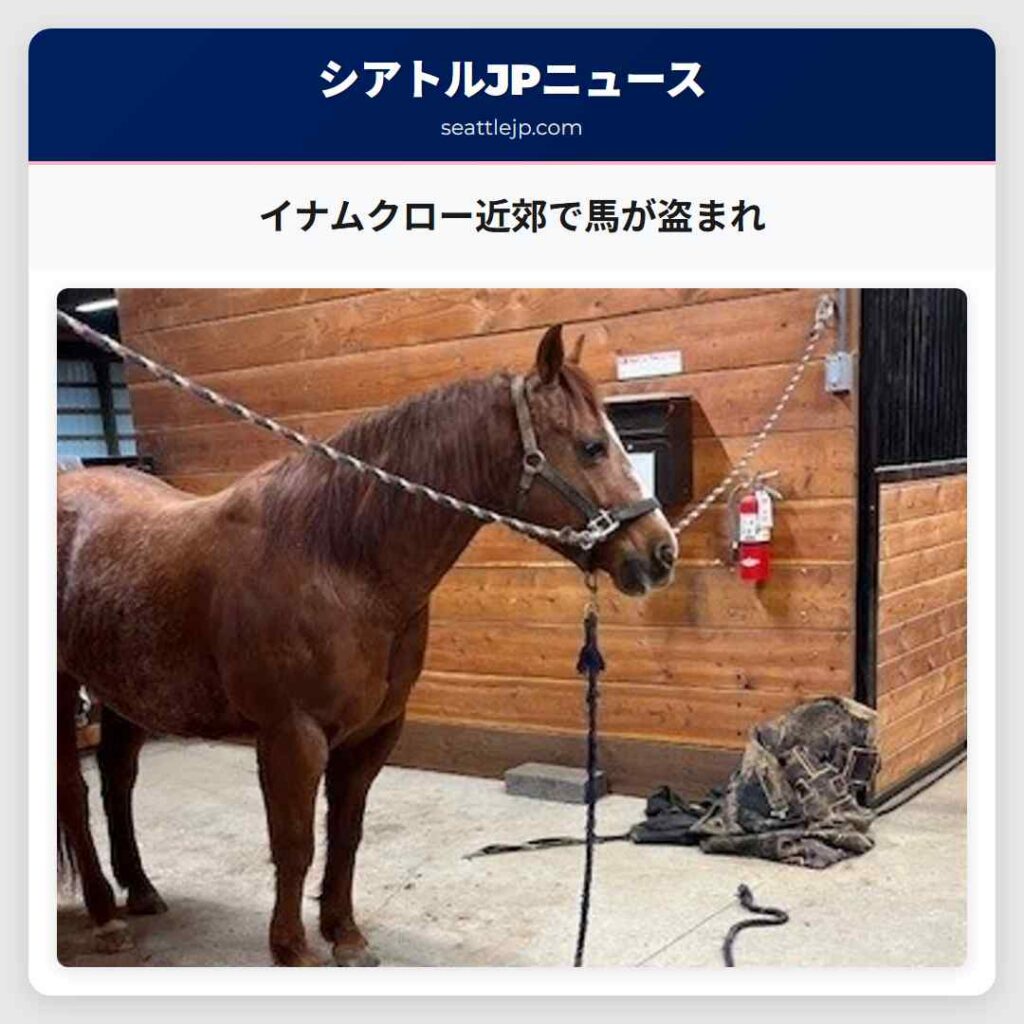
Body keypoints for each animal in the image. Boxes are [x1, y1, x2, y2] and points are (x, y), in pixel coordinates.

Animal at [56, 324, 678, 966]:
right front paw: (292, 949)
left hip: (125, 691)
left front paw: (346, 936)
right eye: (592, 447)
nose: (661, 552)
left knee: (117, 780)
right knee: (73, 796)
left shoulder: (373, 733)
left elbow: (346, 836)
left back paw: (140, 889)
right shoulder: (292, 736)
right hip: (65, 689)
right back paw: (104, 915)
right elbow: (296, 843)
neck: (338, 562)